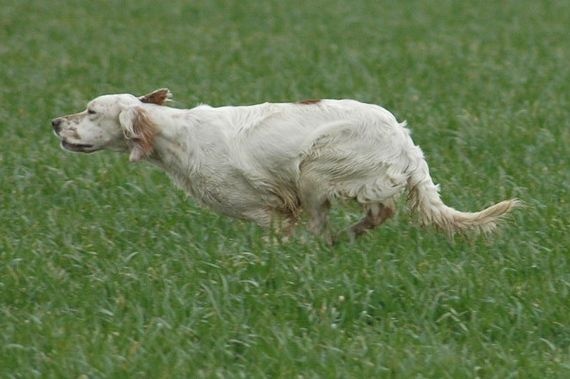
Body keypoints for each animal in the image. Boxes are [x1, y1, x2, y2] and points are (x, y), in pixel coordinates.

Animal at [51, 89, 516, 243]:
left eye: (91, 111)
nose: (55, 121)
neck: (174, 134)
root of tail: (404, 140)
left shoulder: (269, 209)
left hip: (316, 167)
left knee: (369, 213)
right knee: (371, 214)